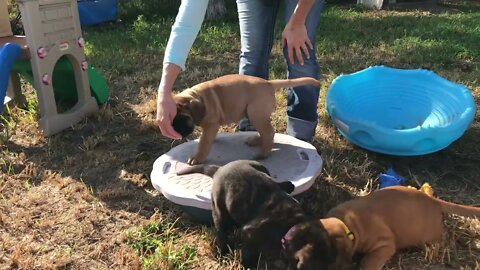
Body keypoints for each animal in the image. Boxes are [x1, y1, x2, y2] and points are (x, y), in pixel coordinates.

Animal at [171, 75, 320, 166]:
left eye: (184, 118)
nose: (177, 133)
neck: (198, 97)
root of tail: (268, 83)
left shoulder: (211, 125)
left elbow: (204, 142)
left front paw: (197, 157)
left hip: (255, 114)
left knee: (269, 132)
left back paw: (263, 154)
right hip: (256, 115)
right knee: (266, 131)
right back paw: (256, 141)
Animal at [282, 186, 480, 270]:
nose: (299, 264)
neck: (347, 223)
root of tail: (433, 200)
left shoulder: (384, 245)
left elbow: (368, 263)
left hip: (431, 235)